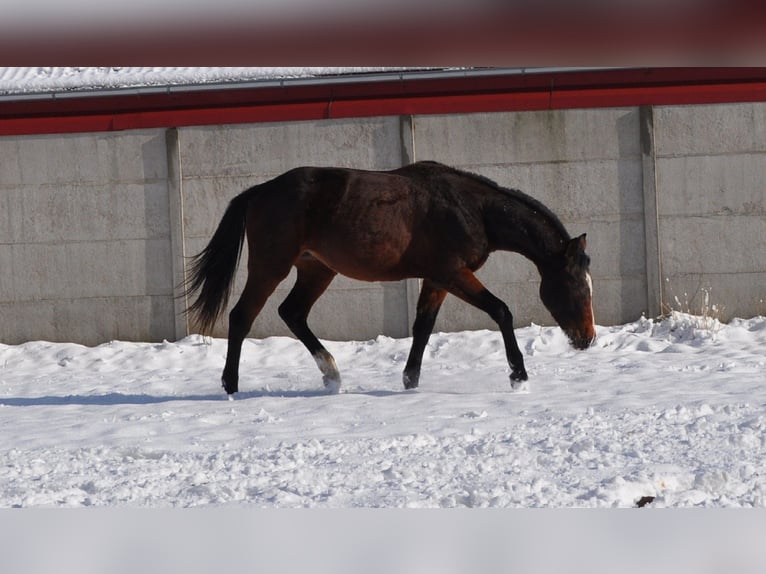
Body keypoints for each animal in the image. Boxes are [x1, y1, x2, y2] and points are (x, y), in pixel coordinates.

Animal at [183, 162, 596, 396]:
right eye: (578, 287)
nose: (588, 339)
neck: (473, 209)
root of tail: (260, 191)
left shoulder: (437, 280)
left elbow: (423, 327)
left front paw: (410, 381)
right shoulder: (453, 273)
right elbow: (501, 311)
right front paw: (518, 375)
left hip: (317, 269)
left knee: (293, 313)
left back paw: (331, 375)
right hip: (271, 267)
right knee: (242, 317)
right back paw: (231, 387)